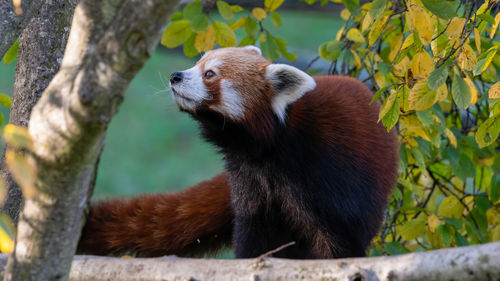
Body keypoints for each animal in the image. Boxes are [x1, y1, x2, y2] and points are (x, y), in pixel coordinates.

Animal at [78, 46, 398, 258]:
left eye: (209, 74)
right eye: (197, 63)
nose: (175, 75)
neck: (268, 149)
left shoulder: (328, 176)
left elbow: (337, 241)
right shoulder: (249, 181)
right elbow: (252, 236)